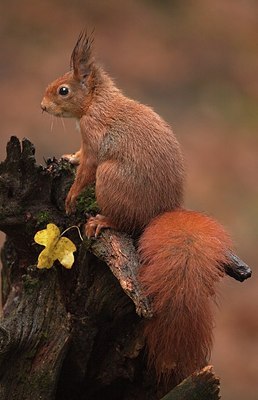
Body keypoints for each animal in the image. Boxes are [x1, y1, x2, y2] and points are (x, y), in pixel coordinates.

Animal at [41, 32, 233, 384]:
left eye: (64, 90)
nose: (42, 106)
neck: (96, 102)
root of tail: (160, 211)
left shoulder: (94, 139)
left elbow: (86, 168)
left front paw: (72, 197)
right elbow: (79, 156)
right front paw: (68, 157)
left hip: (110, 178)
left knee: (123, 221)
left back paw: (101, 221)